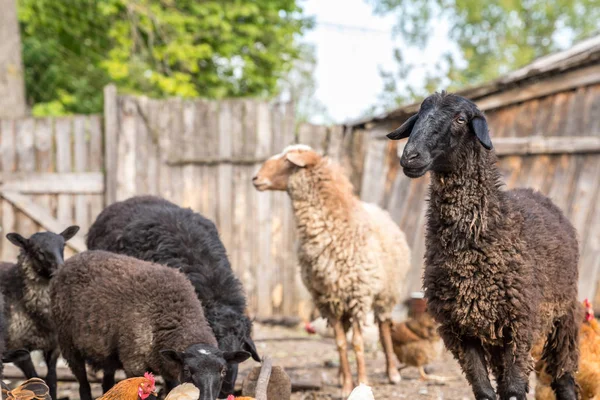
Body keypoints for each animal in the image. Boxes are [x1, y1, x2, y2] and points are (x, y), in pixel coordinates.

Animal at [0, 227, 79, 398]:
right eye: (37, 250)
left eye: (63, 245)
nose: (60, 269)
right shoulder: (18, 349)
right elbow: (35, 379)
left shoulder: (53, 348)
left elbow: (52, 381)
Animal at [48, 250, 251, 400]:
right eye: (187, 370)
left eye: (223, 371)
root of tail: (71, 260)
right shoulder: (134, 363)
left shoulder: (169, 370)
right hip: (68, 343)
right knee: (83, 384)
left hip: (107, 352)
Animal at [251, 145, 410, 396]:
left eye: (288, 161)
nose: (256, 179)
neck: (334, 225)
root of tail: (380, 210)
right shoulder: (328, 299)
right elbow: (340, 343)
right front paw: (346, 386)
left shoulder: (359, 296)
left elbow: (357, 343)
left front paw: (362, 381)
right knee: (345, 335)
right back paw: (340, 375)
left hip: (387, 292)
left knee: (385, 327)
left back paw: (392, 372)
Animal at [386, 90, 580, 400]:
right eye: (419, 116)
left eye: (460, 119)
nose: (410, 157)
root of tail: (538, 194)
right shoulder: (460, 331)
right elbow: (486, 392)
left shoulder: (519, 326)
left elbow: (514, 389)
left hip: (564, 316)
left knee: (563, 376)